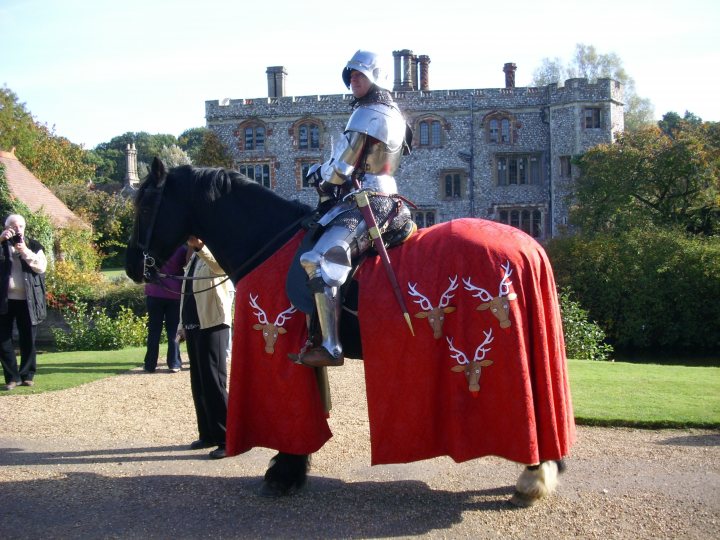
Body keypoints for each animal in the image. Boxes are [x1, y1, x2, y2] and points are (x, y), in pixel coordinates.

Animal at [125, 158, 572, 504]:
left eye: (146, 204)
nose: (132, 267)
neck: (267, 241)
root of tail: (531, 248)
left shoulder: (278, 353)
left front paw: (283, 472)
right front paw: (293, 469)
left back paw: (533, 477)